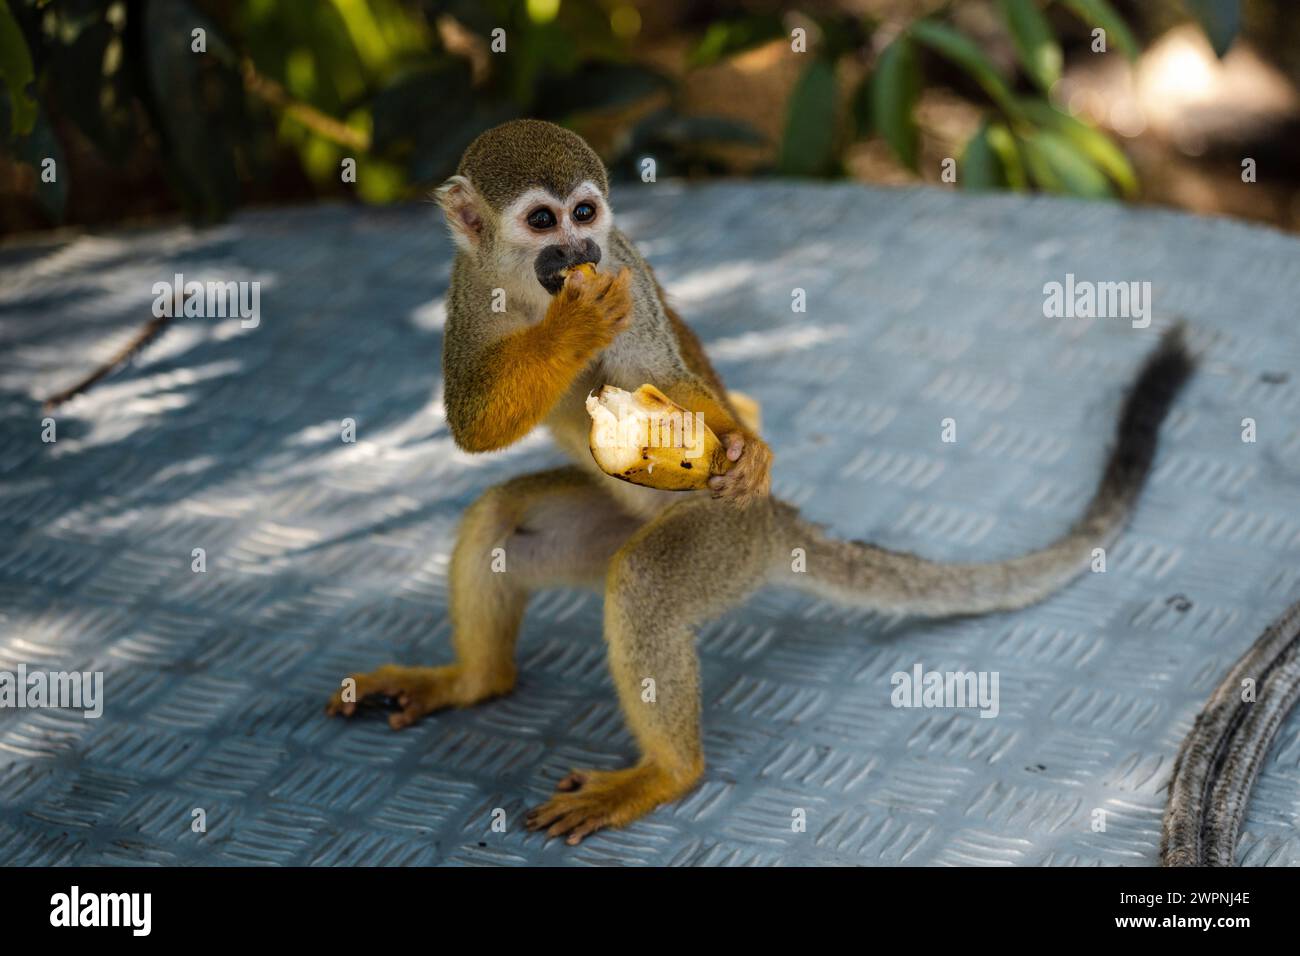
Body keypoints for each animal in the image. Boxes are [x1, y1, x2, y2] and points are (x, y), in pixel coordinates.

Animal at [327, 117, 1196, 842]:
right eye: (543, 222)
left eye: (586, 214)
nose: (580, 256)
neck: (531, 288)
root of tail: (776, 521)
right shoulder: (464, 292)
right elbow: (474, 426)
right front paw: (571, 328)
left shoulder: (627, 273)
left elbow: (663, 378)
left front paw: (741, 440)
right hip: (625, 526)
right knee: (504, 517)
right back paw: (477, 680)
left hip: (722, 537)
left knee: (643, 581)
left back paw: (668, 772)